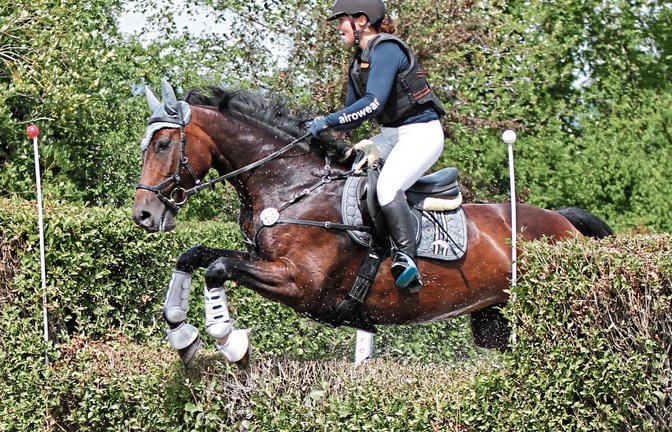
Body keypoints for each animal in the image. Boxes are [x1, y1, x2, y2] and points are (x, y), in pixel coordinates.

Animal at [132, 81, 613, 368]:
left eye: (163, 144)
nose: (143, 214)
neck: (292, 185)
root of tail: (564, 222)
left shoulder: (301, 284)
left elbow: (217, 269)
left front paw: (230, 341)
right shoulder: (264, 262)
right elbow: (194, 255)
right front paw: (183, 335)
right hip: (494, 318)